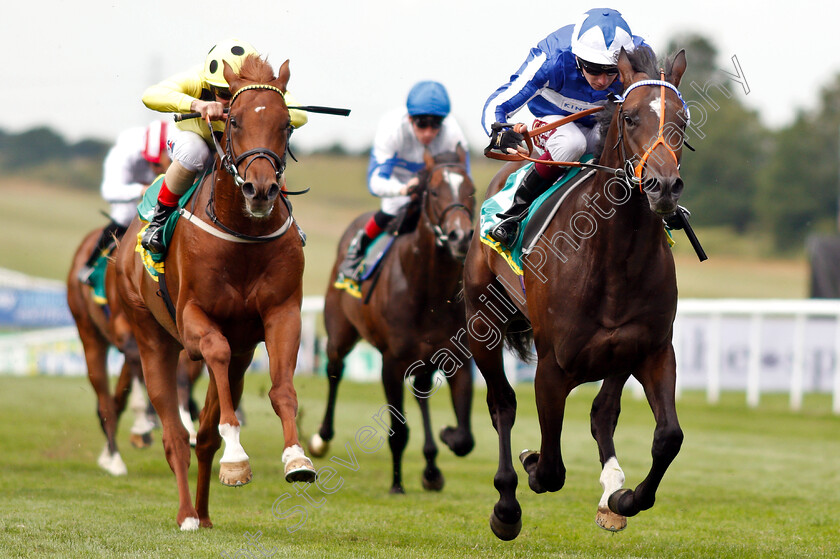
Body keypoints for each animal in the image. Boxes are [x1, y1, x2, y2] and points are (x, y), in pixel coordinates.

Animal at [115, 55, 316, 528]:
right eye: (234, 119)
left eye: (286, 124)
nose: (260, 189)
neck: (243, 234)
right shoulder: (194, 321)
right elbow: (215, 354)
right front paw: (237, 456)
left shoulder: (282, 314)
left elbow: (281, 389)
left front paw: (296, 458)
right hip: (151, 337)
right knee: (174, 434)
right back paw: (188, 514)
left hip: (240, 353)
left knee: (203, 435)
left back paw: (204, 513)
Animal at [310, 148, 480, 494]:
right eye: (433, 191)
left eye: (471, 190)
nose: (460, 237)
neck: (429, 293)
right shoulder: (391, 363)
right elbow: (398, 431)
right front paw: (397, 484)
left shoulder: (456, 358)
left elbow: (465, 439)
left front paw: (445, 438)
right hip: (340, 333)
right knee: (334, 370)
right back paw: (321, 438)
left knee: (421, 390)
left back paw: (431, 467)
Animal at [466, 49, 688, 544]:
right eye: (630, 117)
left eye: (682, 120)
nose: (663, 186)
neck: (613, 258)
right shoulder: (553, 368)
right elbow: (550, 469)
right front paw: (530, 466)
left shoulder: (652, 350)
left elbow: (668, 437)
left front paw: (624, 499)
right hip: (481, 323)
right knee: (502, 405)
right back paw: (506, 505)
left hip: (618, 355)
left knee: (603, 412)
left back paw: (611, 491)